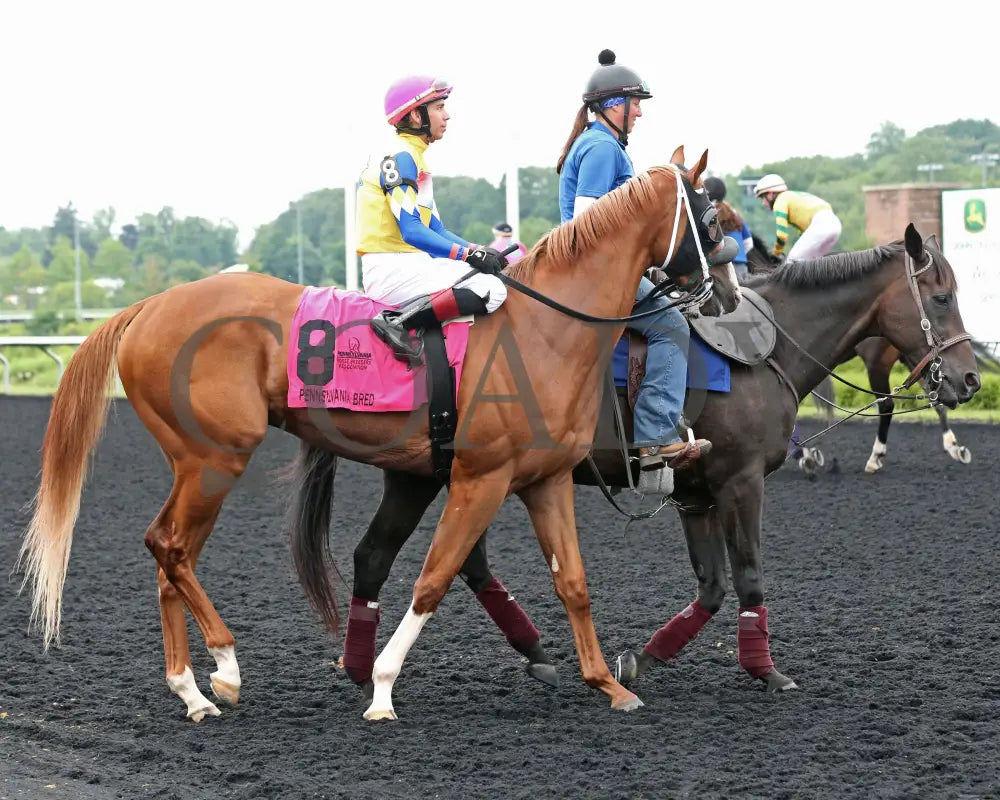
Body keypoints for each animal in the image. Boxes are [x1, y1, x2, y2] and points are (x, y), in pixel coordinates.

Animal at [17, 147, 744, 720]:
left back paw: (191, 690)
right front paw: (384, 690)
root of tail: (145, 307)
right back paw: (223, 666)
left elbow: (574, 582)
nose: (727, 297)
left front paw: (608, 685)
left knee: (170, 556)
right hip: (216, 458)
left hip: (197, 462)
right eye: (715, 223)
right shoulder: (479, 478)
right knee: (168, 546)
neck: (545, 328)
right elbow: (433, 577)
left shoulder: (544, 480)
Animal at [748, 231, 972, 472]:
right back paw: (953, 445)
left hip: (880, 363)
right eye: (942, 298)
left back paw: (876, 455)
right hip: (917, 360)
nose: (971, 379)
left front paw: (804, 454)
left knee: (887, 404)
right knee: (935, 398)